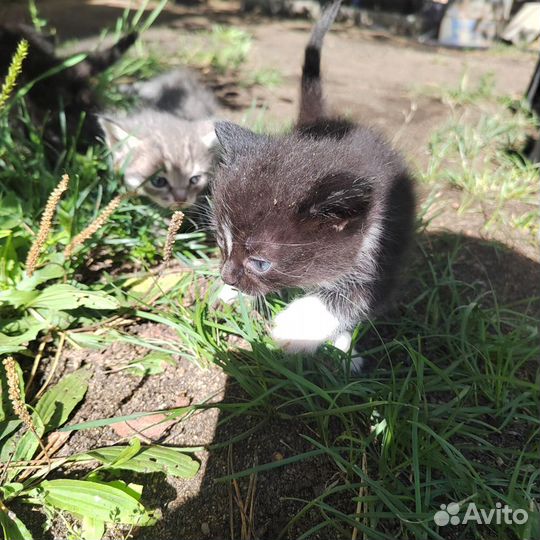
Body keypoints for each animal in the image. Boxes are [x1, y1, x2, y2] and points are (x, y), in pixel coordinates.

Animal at [211, 0, 414, 354]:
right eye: (222, 242)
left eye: (260, 262)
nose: (227, 276)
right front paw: (230, 294)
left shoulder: (386, 251)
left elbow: (358, 297)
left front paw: (298, 327)